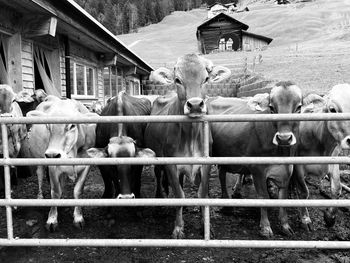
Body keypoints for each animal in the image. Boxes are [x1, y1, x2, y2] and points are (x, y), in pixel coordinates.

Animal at [26, 97, 98, 231]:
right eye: (47, 126)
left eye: (72, 125)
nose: (52, 155)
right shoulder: (53, 167)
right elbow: (55, 191)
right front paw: (52, 219)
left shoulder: (86, 165)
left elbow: (78, 191)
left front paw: (78, 217)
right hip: (38, 159)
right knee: (40, 175)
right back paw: (40, 197)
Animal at [144, 53, 231, 239]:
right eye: (178, 80)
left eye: (206, 79)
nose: (196, 105)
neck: (190, 136)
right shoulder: (171, 164)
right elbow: (179, 194)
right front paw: (178, 228)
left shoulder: (205, 164)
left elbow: (202, 193)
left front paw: (205, 225)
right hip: (157, 157)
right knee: (159, 176)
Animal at [208, 81, 304, 238]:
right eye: (272, 108)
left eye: (299, 108)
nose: (284, 138)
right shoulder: (257, 169)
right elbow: (263, 196)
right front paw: (265, 227)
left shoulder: (287, 169)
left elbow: (283, 198)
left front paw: (285, 225)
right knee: (221, 176)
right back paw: (227, 203)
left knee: (222, 173)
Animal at [292, 84, 350, 231]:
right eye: (333, 109)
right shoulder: (298, 166)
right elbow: (303, 192)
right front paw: (305, 219)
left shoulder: (333, 162)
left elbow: (337, 189)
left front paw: (330, 217)